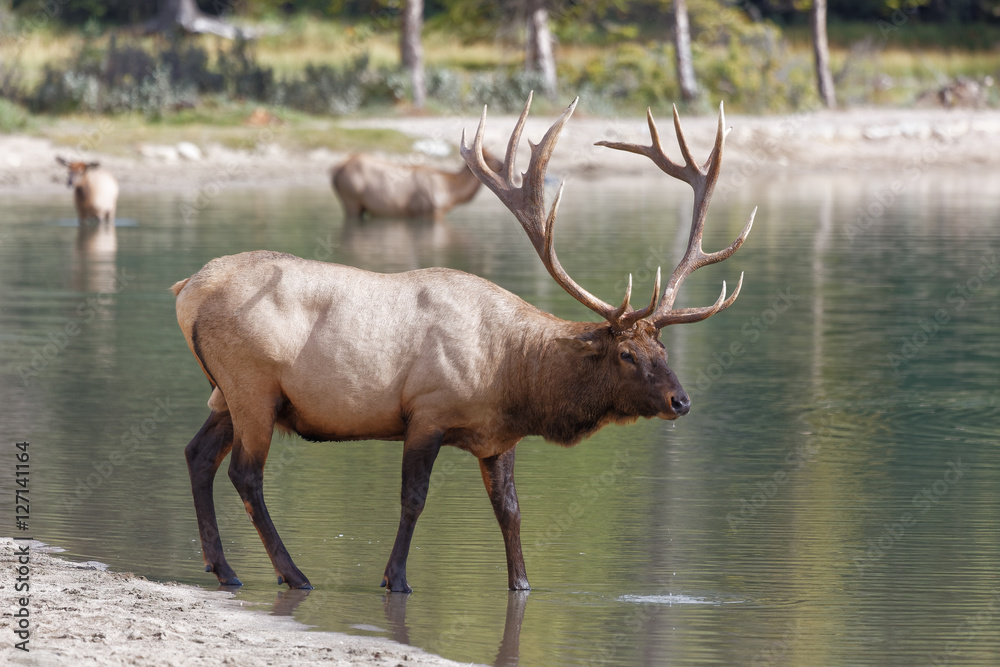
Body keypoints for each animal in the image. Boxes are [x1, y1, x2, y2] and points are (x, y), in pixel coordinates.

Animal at [330, 149, 504, 219]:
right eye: (487, 157)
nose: (503, 164)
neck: (451, 193)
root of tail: (336, 169)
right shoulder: (430, 212)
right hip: (351, 201)